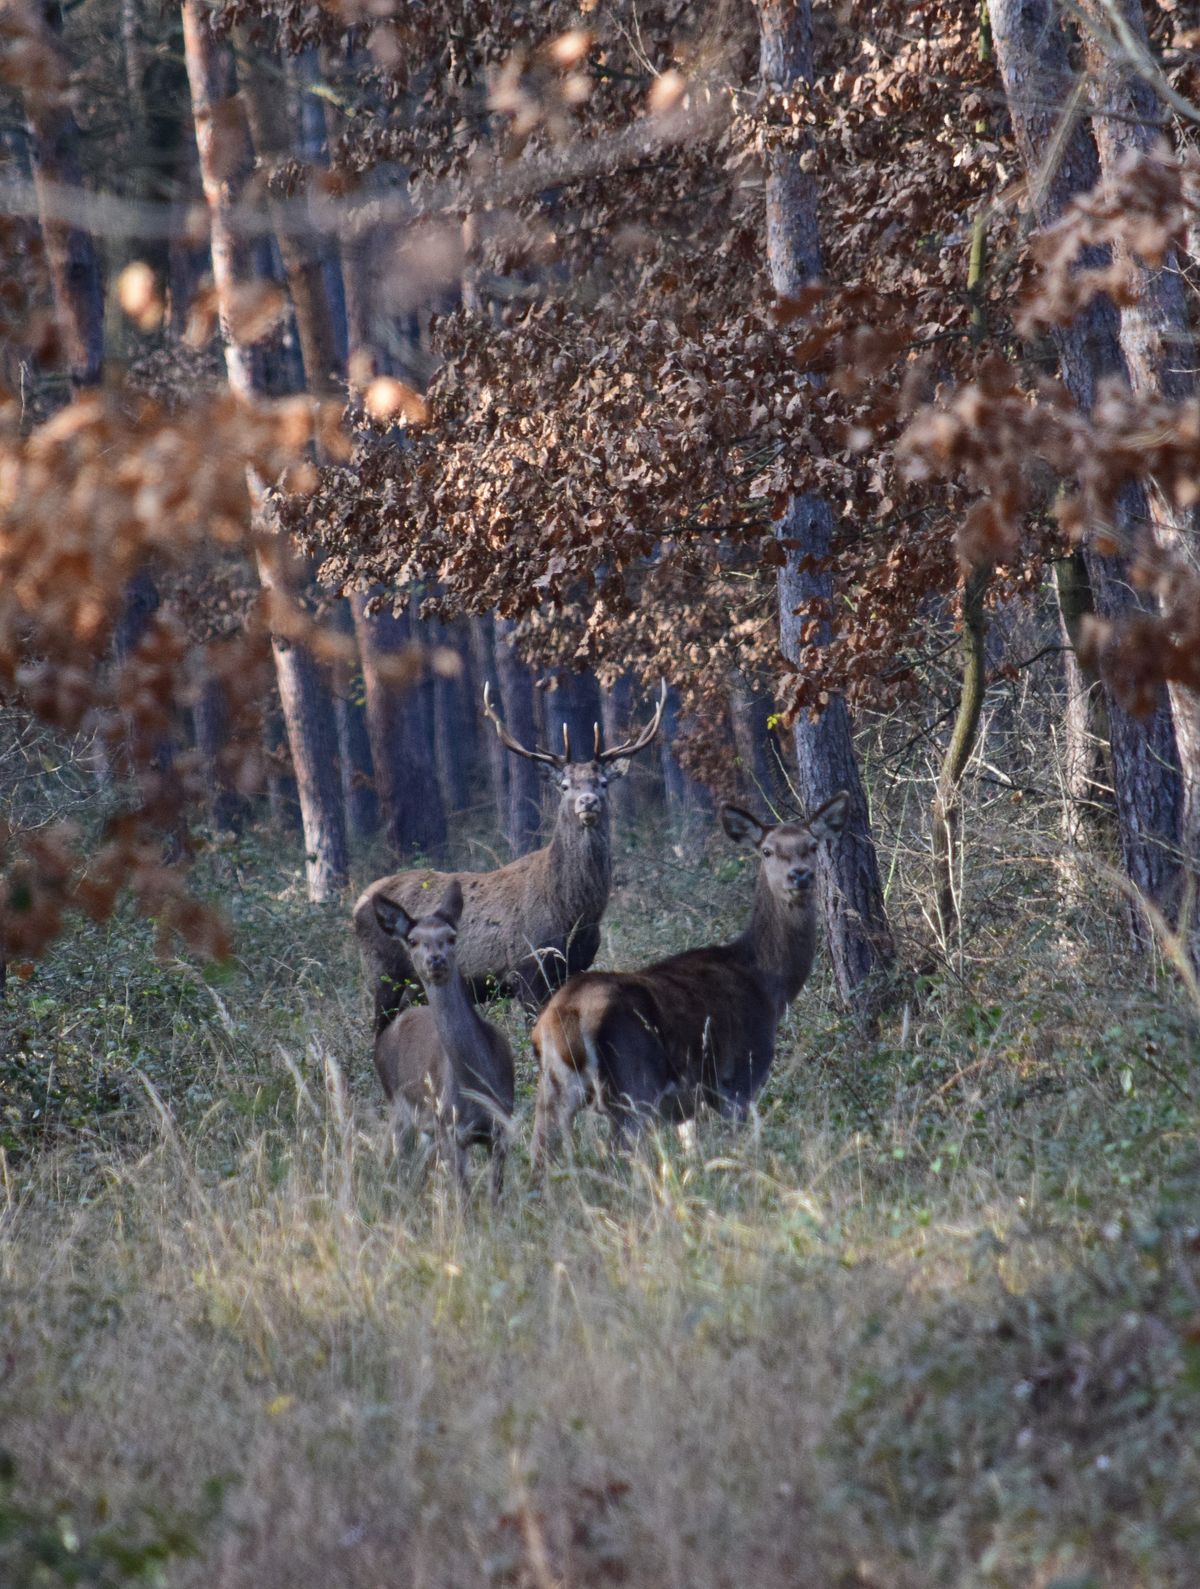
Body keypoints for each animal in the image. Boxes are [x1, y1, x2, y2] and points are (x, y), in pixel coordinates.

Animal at [370, 877, 511, 1194]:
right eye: (412, 940)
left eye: (451, 936)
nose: (436, 960)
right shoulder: (452, 1131)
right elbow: (463, 1197)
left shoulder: (503, 1128)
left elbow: (495, 1196)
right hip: (399, 1107)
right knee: (396, 1164)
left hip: (428, 1130)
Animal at [530, 794, 851, 1169]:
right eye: (768, 850)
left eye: (812, 845)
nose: (800, 875)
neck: (769, 984)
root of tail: (567, 1016)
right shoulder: (739, 1077)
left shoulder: (689, 1106)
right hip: (634, 1082)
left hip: (553, 1088)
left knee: (539, 1155)